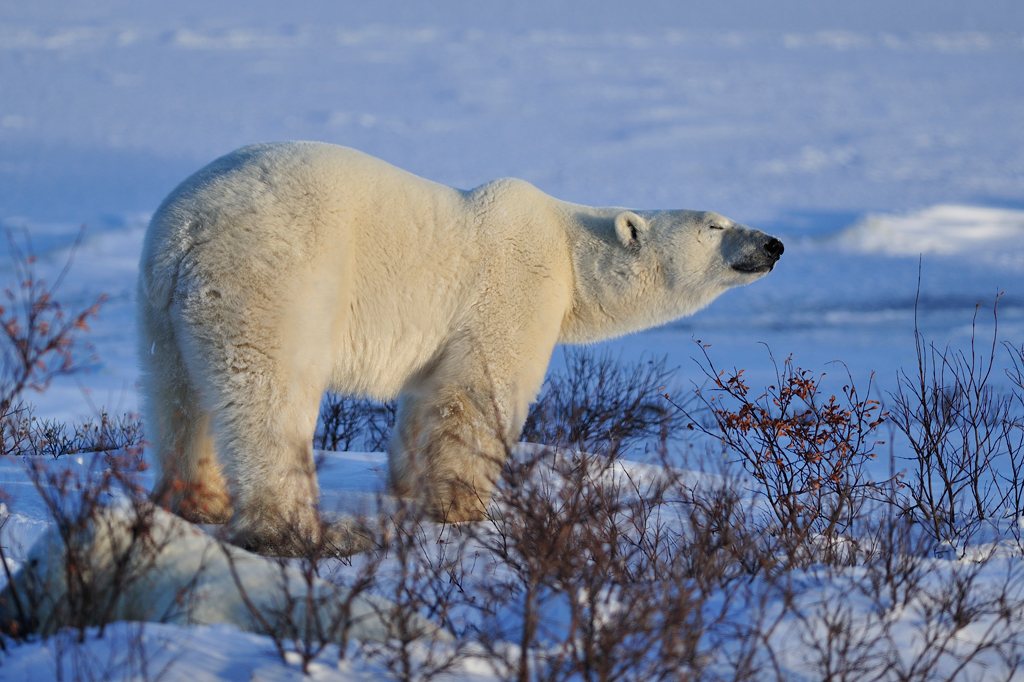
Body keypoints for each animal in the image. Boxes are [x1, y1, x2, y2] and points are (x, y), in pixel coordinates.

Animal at [138, 140, 782, 557]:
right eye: (716, 225)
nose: (774, 243)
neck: (569, 249)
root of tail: (192, 231)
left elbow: (425, 401)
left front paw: (409, 489)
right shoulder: (515, 285)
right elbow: (479, 393)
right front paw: (467, 508)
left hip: (163, 306)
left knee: (179, 398)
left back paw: (198, 501)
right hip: (276, 276)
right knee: (272, 398)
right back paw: (302, 533)